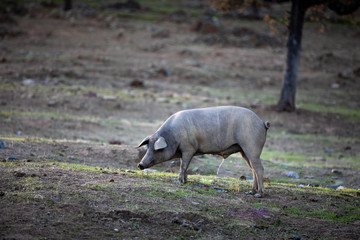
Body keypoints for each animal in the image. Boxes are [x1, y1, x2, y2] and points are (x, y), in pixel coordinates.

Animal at [138, 106, 270, 197]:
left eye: (156, 149)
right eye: (147, 147)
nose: (140, 165)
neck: (173, 135)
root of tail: (262, 123)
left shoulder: (189, 147)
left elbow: (183, 165)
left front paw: (179, 182)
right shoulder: (185, 150)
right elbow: (184, 165)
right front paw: (185, 181)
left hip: (252, 146)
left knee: (259, 168)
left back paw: (259, 194)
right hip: (243, 150)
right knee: (253, 169)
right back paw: (250, 192)